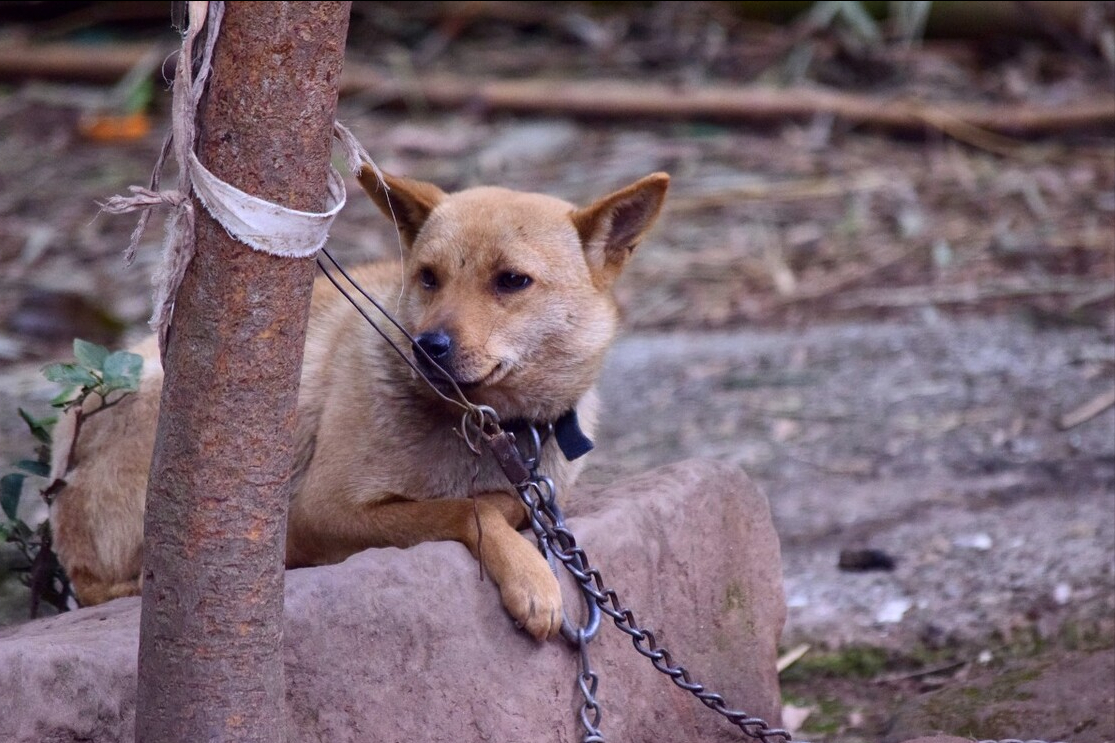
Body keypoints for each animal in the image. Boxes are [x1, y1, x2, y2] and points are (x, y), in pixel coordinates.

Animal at [50, 166, 669, 638]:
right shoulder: (320, 511)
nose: (428, 346)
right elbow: (468, 508)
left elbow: (486, 503)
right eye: (428, 278)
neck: (483, 425)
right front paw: (529, 576)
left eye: (512, 281)